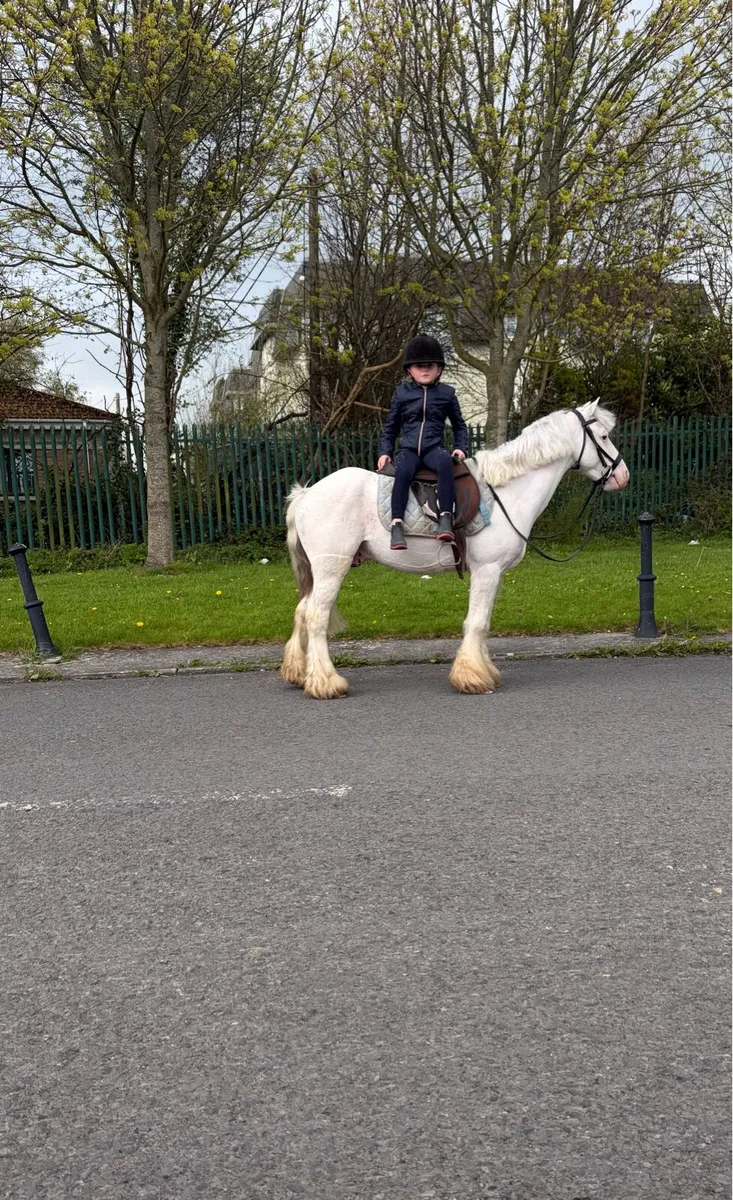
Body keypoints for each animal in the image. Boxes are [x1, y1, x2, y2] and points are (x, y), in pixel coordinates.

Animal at [281, 400, 630, 698]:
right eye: (603, 436)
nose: (622, 475)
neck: (506, 492)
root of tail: (307, 494)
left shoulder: (493, 573)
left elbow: (483, 622)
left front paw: (484, 671)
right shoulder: (487, 570)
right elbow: (477, 622)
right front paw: (473, 677)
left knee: (301, 611)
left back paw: (299, 674)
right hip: (332, 567)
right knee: (316, 616)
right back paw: (326, 683)